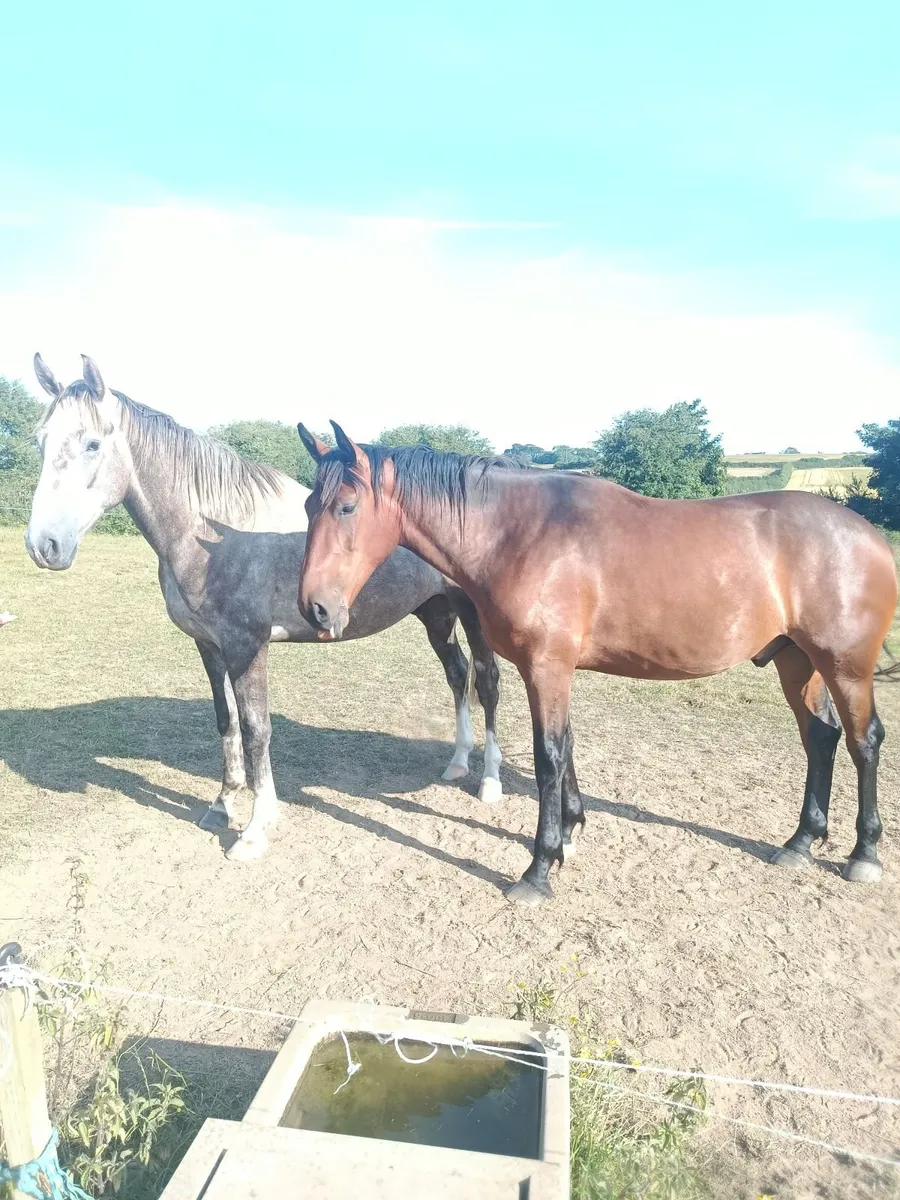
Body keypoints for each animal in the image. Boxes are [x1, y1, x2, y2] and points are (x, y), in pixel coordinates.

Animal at [24, 356, 504, 862]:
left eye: (92, 443)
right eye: (40, 440)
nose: (44, 546)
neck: (210, 534)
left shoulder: (247, 647)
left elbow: (257, 729)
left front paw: (255, 829)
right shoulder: (210, 646)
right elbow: (227, 721)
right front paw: (221, 806)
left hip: (473, 615)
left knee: (487, 681)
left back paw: (489, 782)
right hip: (435, 612)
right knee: (457, 674)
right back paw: (457, 762)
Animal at [296, 422, 899, 905]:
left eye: (346, 506)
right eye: (307, 506)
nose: (315, 608)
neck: (520, 534)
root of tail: (869, 535)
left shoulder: (546, 666)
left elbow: (548, 757)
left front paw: (539, 868)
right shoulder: (549, 669)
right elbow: (565, 747)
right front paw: (572, 830)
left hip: (844, 667)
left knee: (863, 740)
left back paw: (862, 854)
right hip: (796, 661)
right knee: (820, 737)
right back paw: (800, 841)